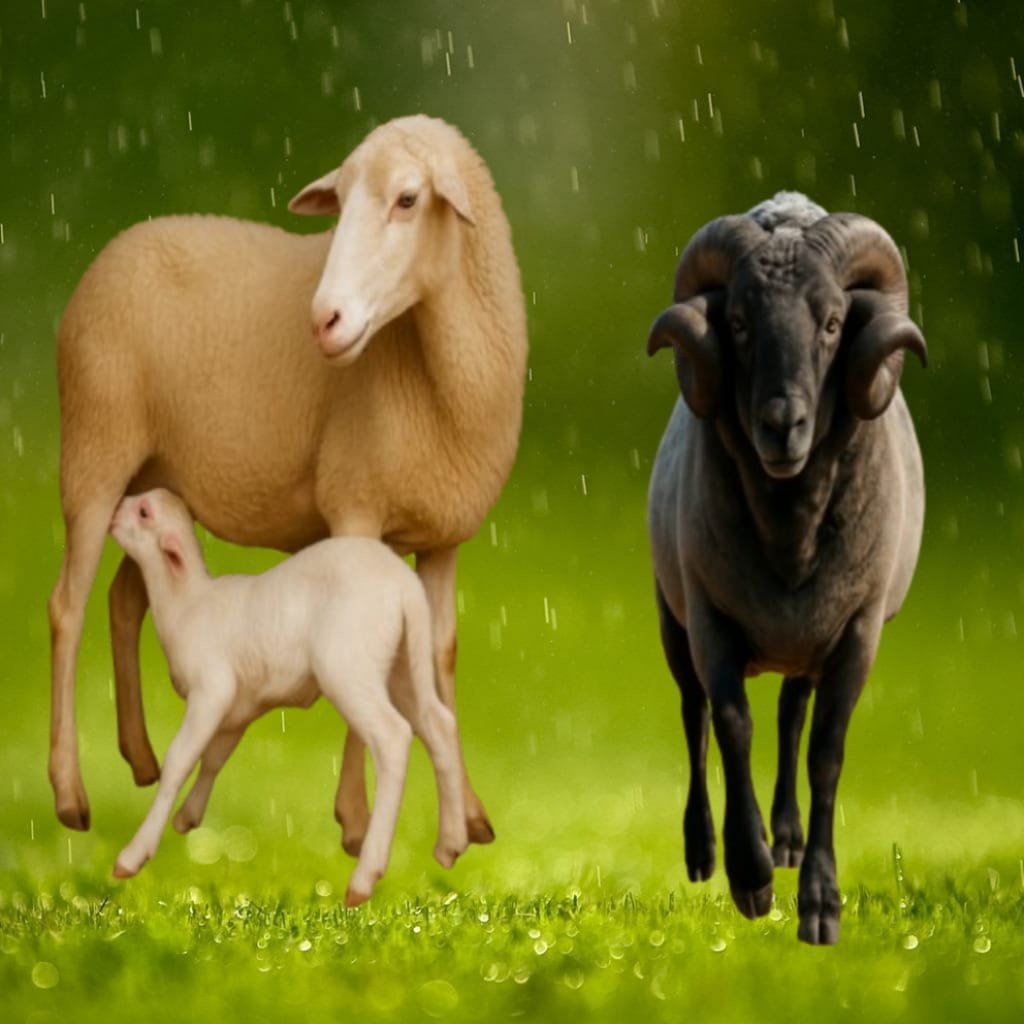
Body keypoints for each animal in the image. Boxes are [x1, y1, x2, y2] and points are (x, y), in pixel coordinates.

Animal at [47, 115, 527, 852]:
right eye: (341, 202)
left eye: (408, 200)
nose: (323, 319)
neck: (436, 372)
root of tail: (124, 239)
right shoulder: (355, 505)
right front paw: (356, 821)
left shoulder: (446, 535)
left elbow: (439, 657)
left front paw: (470, 818)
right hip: (94, 448)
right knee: (66, 607)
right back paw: (71, 794)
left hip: (156, 476)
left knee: (126, 599)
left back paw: (142, 759)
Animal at [108, 488, 468, 905]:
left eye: (143, 512)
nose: (113, 511)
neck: (186, 603)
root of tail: (405, 587)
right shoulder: (238, 707)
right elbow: (214, 758)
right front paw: (187, 817)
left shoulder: (212, 689)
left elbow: (179, 760)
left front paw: (134, 854)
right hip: (403, 665)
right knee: (439, 723)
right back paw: (451, 843)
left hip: (349, 665)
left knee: (393, 735)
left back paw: (365, 877)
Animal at [646, 192, 927, 944]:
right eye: (739, 322)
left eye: (831, 322)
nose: (781, 423)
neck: (789, 528)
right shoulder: (710, 617)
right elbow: (731, 724)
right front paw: (750, 878)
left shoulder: (857, 628)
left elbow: (825, 749)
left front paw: (820, 902)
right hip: (671, 617)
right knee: (693, 715)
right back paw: (702, 850)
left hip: (807, 642)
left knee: (792, 714)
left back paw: (790, 839)